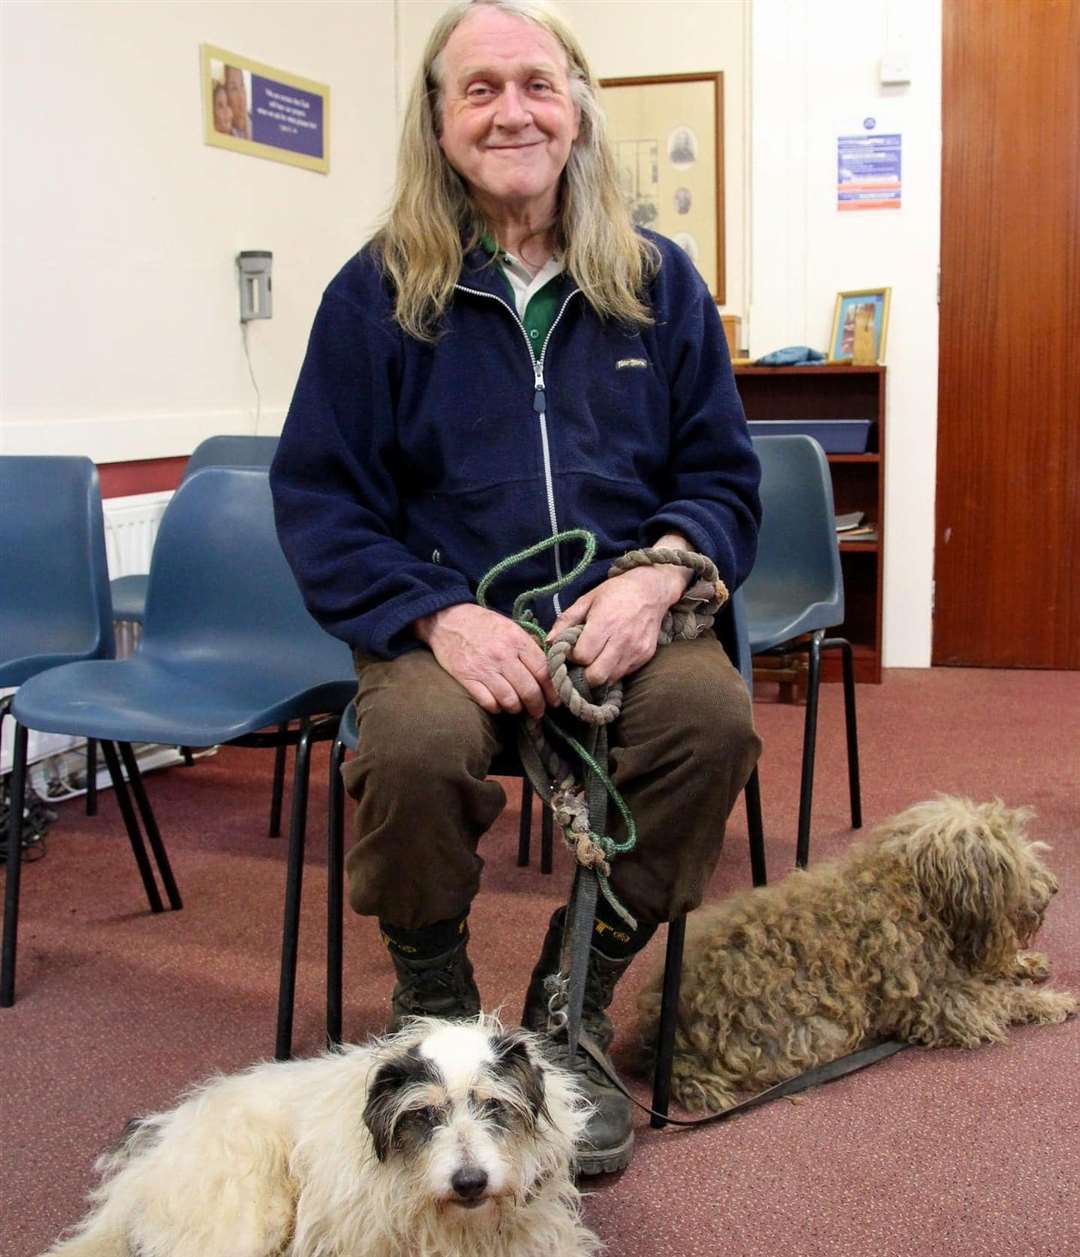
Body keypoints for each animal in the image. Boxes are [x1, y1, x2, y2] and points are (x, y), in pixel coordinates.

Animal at [638, 799, 1076, 1116]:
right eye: (1016, 862)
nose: (1054, 887)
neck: (915, 892)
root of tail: (663, 1035)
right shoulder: (940, 1004)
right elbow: (1001, 997)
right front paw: (1054, 1001)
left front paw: (1025, 963)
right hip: (811, 1032)